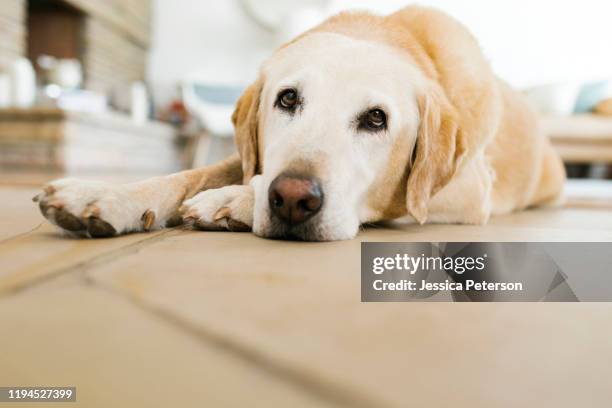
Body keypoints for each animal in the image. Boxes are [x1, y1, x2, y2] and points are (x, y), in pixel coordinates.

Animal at [33, 6, 564, 241]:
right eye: (287, 99)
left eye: (376, 118)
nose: (292, 198)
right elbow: (191, 174)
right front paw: (109, 195)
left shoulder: (470, 189)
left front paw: (232, 201)